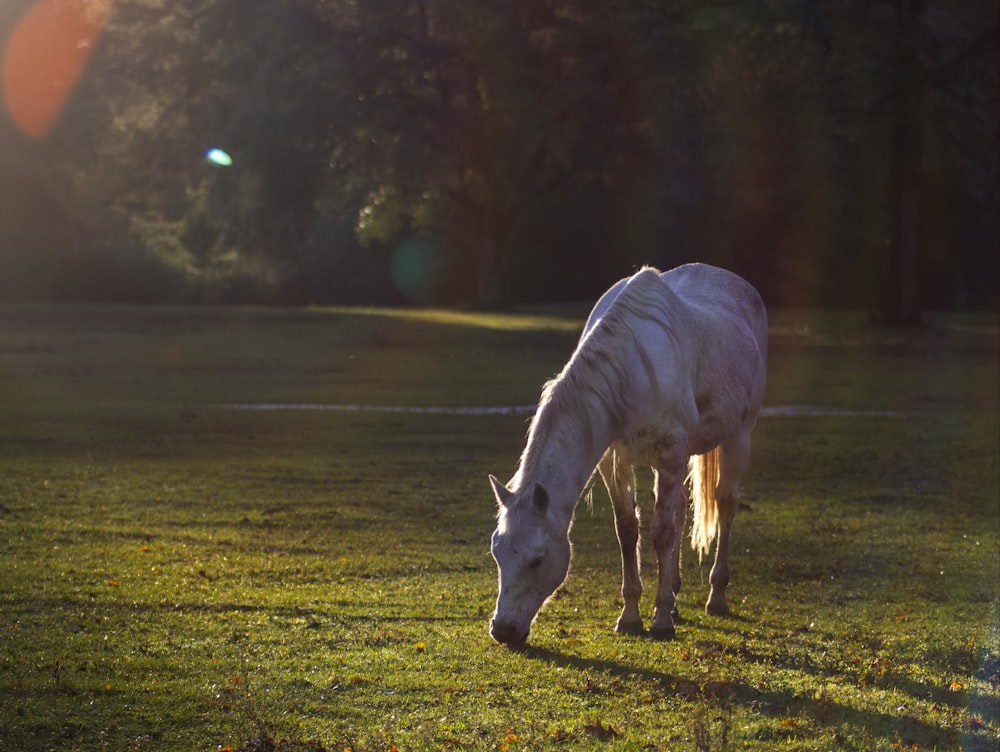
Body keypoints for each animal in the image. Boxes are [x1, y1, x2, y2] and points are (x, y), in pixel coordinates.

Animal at [488, 262, 768, 644]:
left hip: (738, 436)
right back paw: (676, 595)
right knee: (680, 512)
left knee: (725, 504)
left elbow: (661, 531)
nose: (503, 630)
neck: (627, 370)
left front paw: (661, 620)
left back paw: (716, 597)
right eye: (497, 553)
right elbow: (628, 529)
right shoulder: (613, 459)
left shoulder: (671, 450)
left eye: (537, 559)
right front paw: (632, 616)